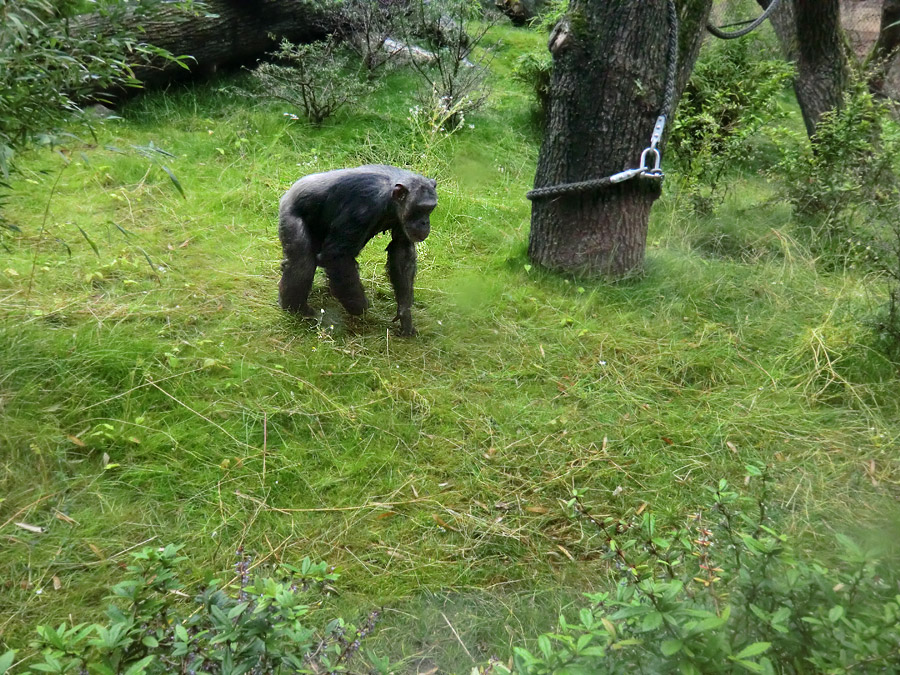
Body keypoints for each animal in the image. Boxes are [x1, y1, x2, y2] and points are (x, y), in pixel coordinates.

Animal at [278, 164, 440, 338]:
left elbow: (402, 251)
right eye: (420, 209)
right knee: (303, 263)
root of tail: (288, 192)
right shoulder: (363, 206)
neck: (391, 199)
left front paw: (405, 315)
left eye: (430, 209)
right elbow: (337, 255)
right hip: (290, 215)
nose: (425, 222)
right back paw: (299, 310)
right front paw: (358, 306)